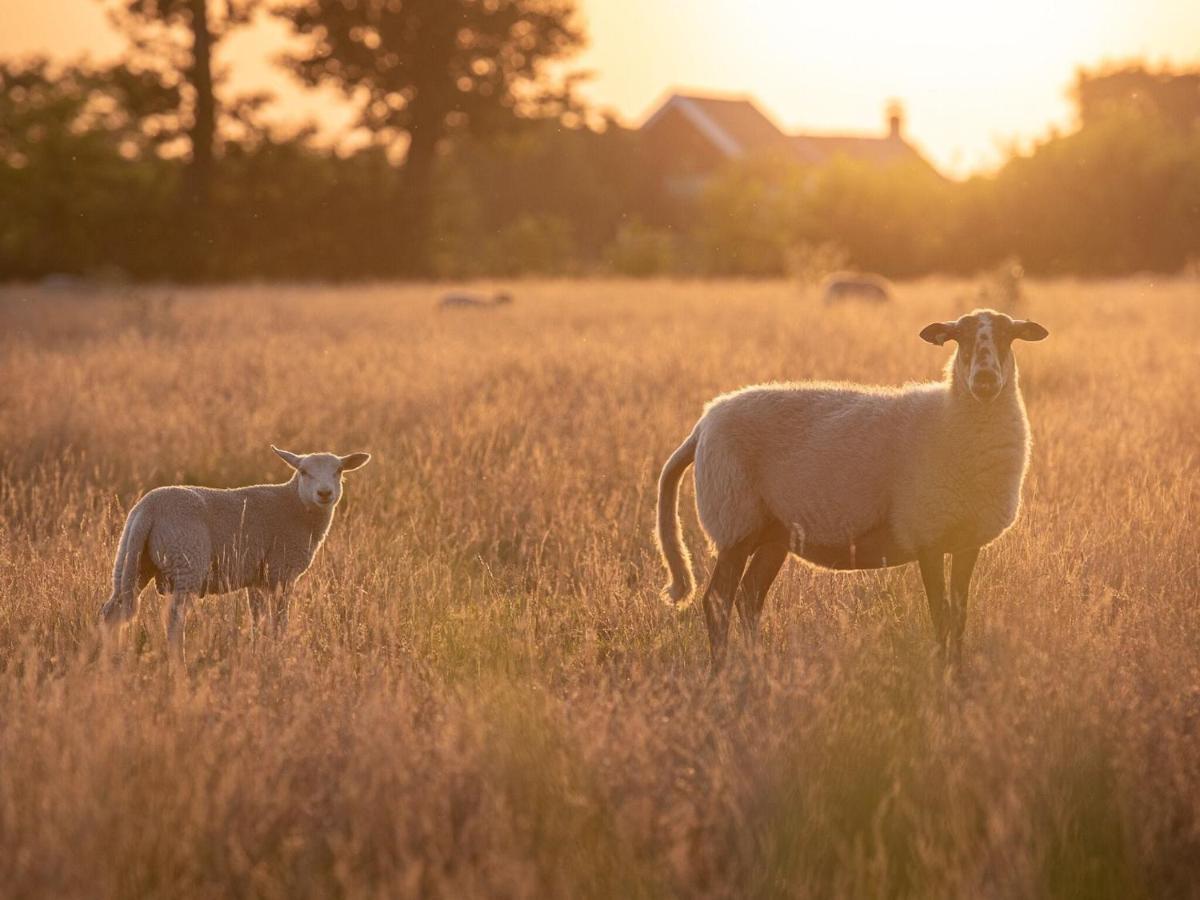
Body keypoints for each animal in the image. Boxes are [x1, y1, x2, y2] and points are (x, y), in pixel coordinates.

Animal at [99, 446, 369, 662]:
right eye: (303, 471)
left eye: (339, 471)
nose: (324, 494)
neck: (295, 506)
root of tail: (148, 508)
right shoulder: (281, 572)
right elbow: (279, 621)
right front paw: (279, 654)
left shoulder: (258, 578)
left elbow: (258, 620)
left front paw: (260, 652)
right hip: (187, 560)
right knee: (174, 619)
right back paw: (178, 664)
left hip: (132, 560)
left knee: (112, 612)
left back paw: (110, 664)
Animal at [657, 309, 1051, 672]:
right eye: (960, 337)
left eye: (1007, 336)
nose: (985, 380)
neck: (951, 416)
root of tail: (703, 424)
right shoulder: (927, 533)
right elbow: (940, 614)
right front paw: (943, 675)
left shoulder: (966, 539)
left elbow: (959, 615)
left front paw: (956, 672)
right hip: (734, 521)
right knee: (718, 601)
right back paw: (721, 673)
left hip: (772, 532)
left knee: (749, 597)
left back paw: (758, 666)